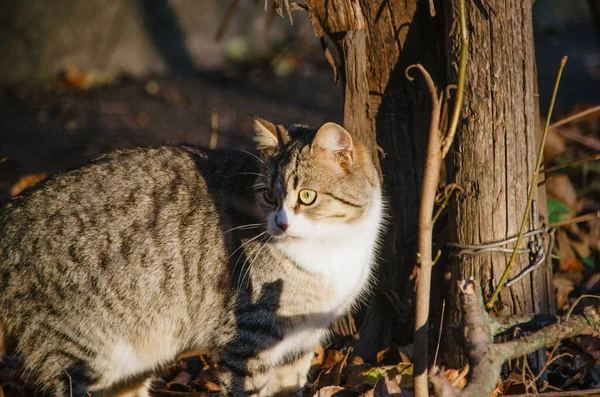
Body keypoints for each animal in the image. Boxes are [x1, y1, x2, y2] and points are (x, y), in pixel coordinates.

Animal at [0, 118, 384, 396]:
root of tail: (13, 212)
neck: (334, 248)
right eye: (269, 196)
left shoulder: (300, 342)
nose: (281, 222)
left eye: (306, 196)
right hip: (84, 353)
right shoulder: (247, 340)